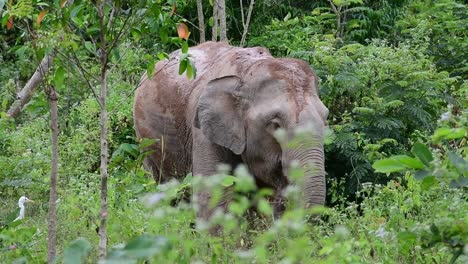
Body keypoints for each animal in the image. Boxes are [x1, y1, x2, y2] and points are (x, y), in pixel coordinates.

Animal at [133, 41, 328, 219]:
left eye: (325, 118)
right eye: (275, 124)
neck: (247, 73)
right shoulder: (203, 130)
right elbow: (212, 197)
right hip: (145, 139)